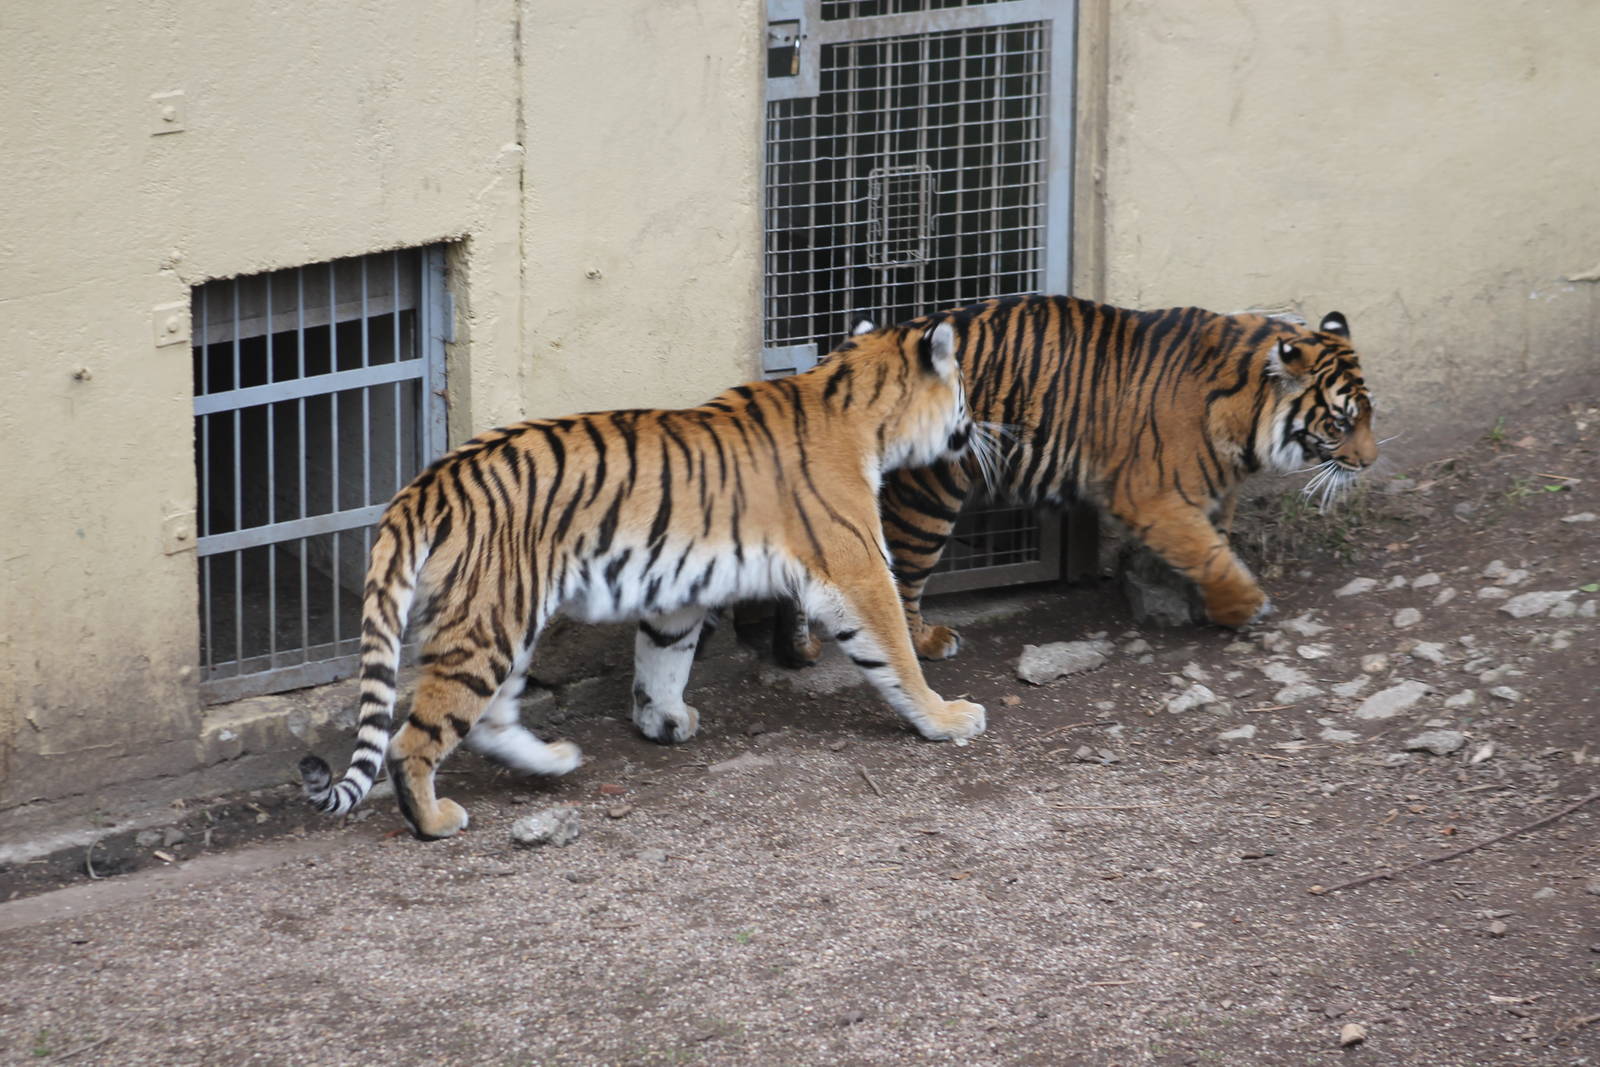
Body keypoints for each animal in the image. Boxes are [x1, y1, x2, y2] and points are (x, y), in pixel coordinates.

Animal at [298, 319, 987, 840]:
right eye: (962, 389)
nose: (977, 427)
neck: (854, 402)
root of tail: (426, 484)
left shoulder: (677, 592)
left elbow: (664, 658)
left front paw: (664, 721)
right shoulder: (856, 567)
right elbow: (895, 649)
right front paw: (946, 717)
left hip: (506, 619)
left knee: (491, 721)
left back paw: (555, 761)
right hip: (488, 623)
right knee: (411, 741)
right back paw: (435, 819)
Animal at [773, 295, 1377, 667]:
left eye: (1369, 416)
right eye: (1340, 422)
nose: (1370, 462)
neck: (1244, 418)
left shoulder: (1214, 491)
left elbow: (1217, 543)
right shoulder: (1151, 495)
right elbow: (1210, 554)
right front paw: (1243, 607)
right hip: (929, 500)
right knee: (903, 579)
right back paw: (928, 641)